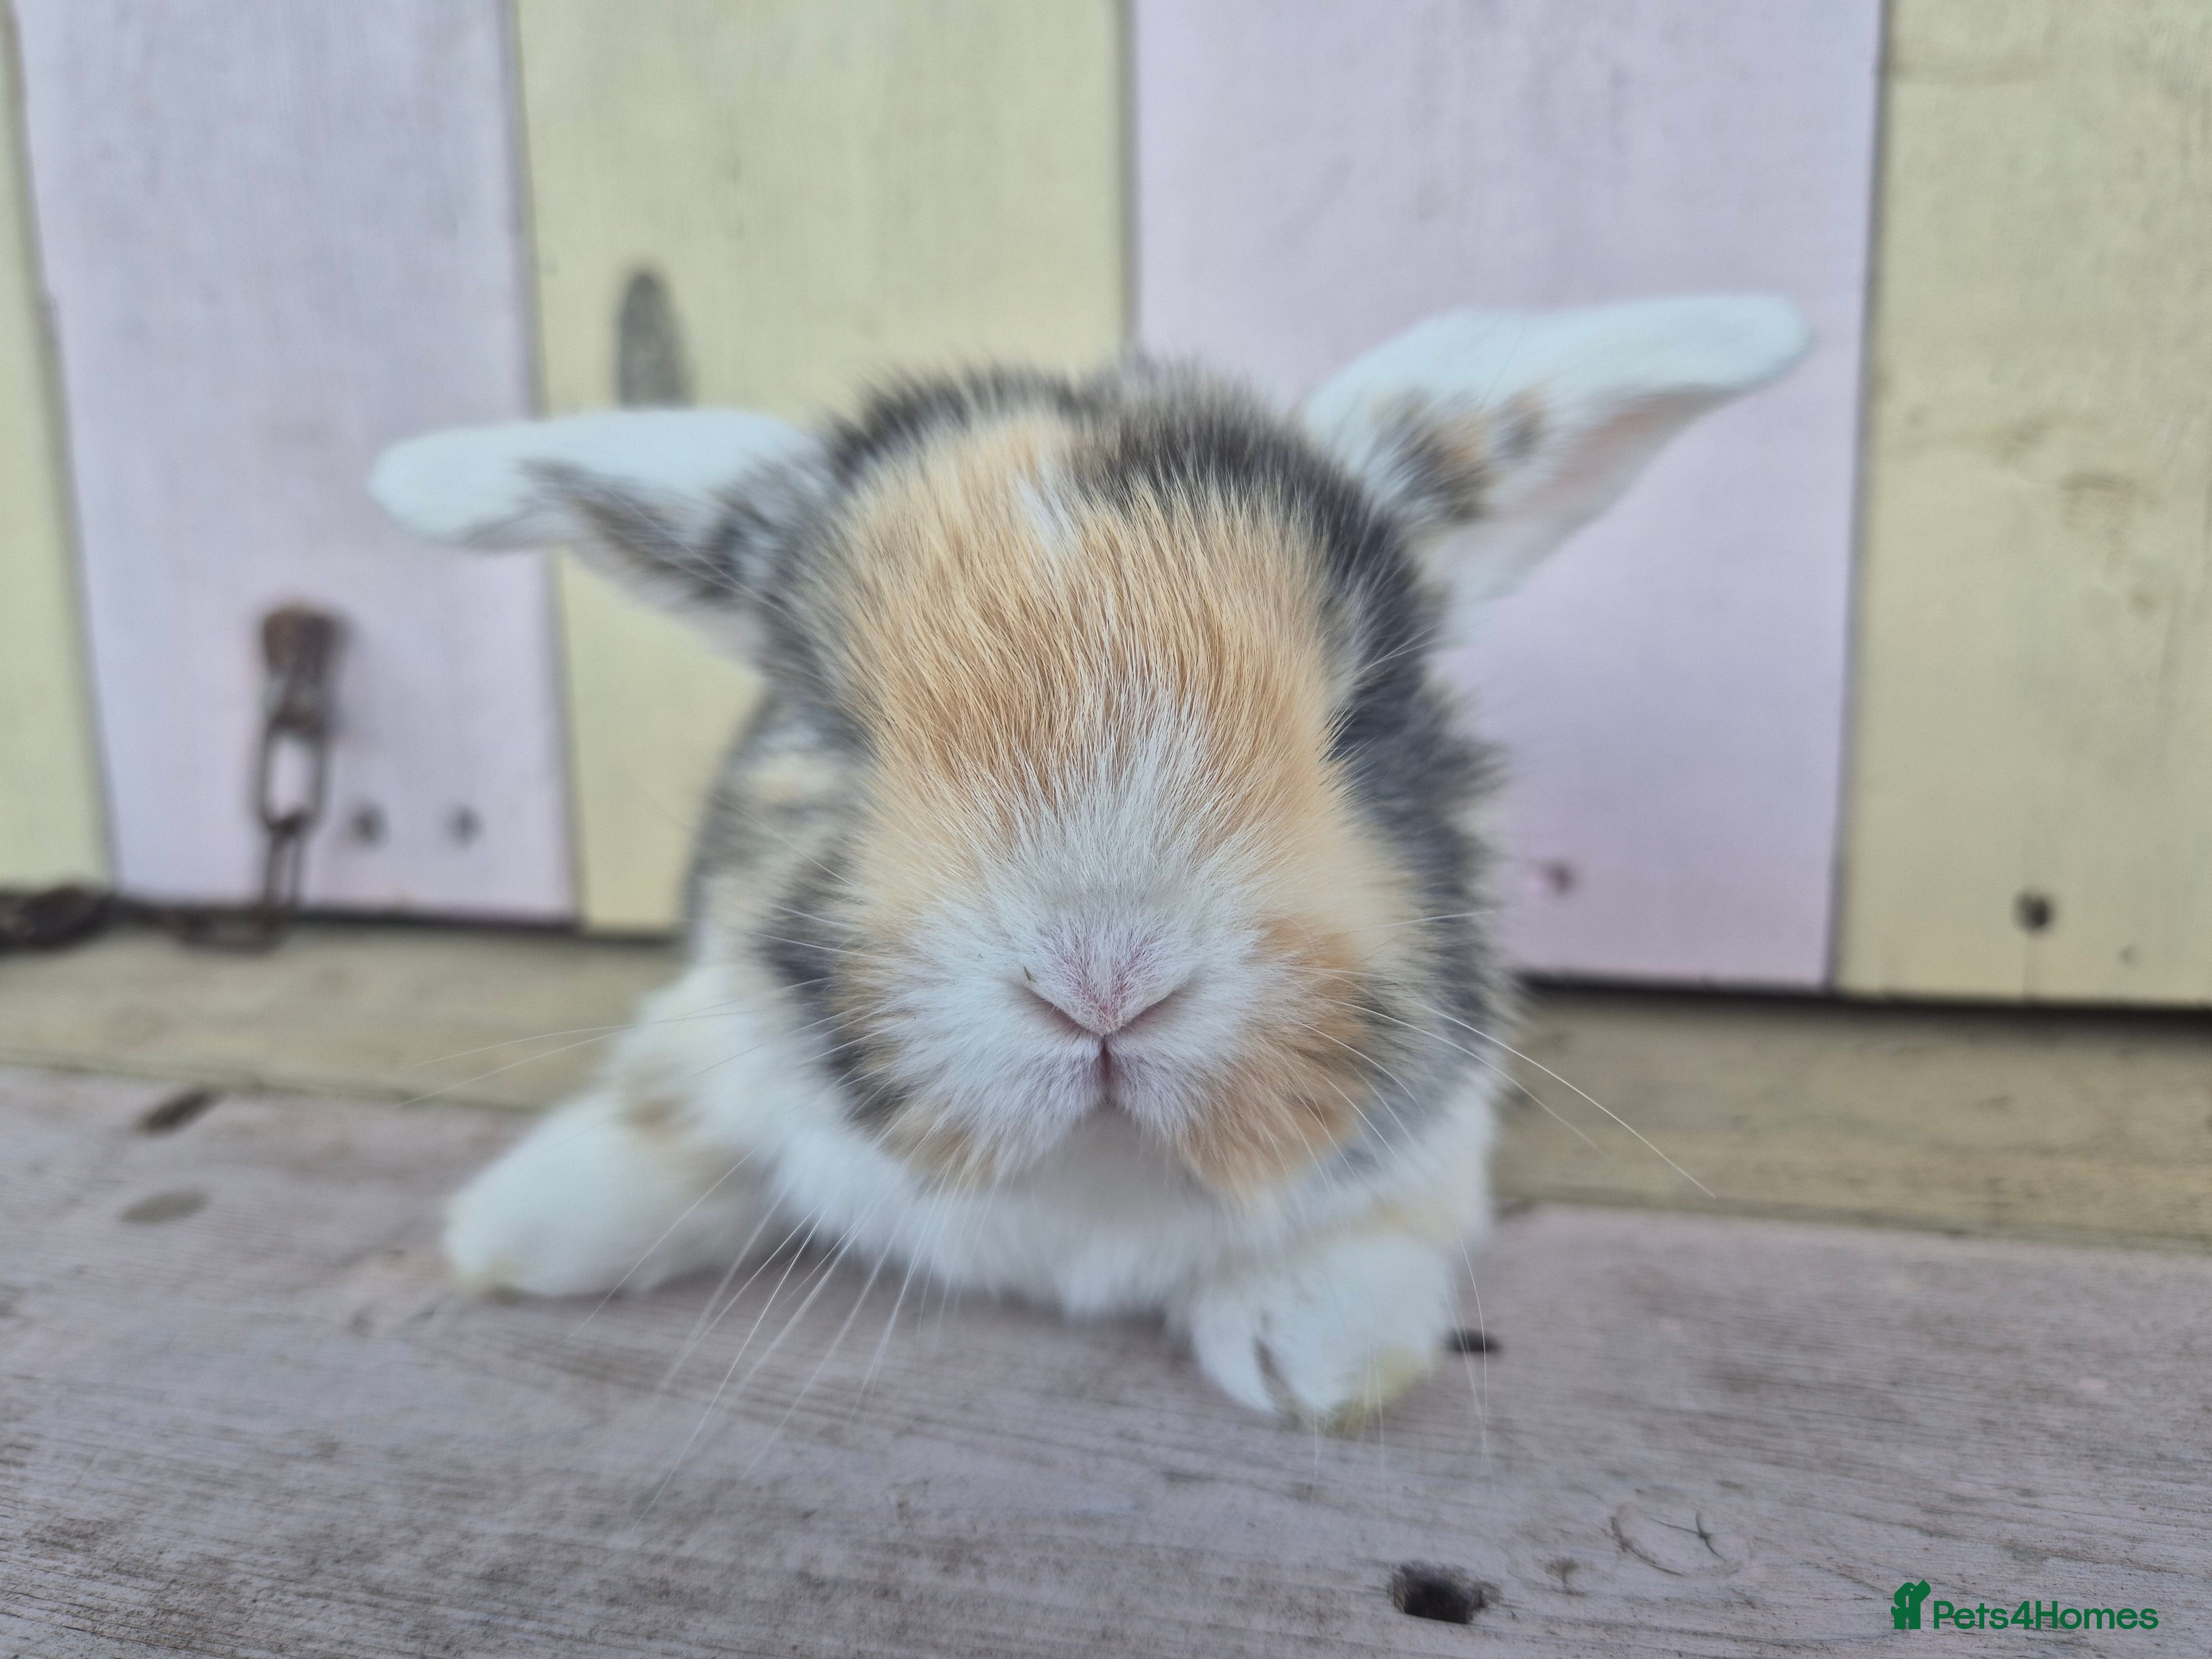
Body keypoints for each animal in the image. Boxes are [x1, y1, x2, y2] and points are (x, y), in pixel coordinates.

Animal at [369, 295, 1807, 1428]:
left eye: (1362, 718)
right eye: (834, 724)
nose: (1103, 984)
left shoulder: (1438, 1144)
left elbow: (1385, 1224)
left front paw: (1311, 1345)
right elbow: (673, 1103)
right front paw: (512, 1229)